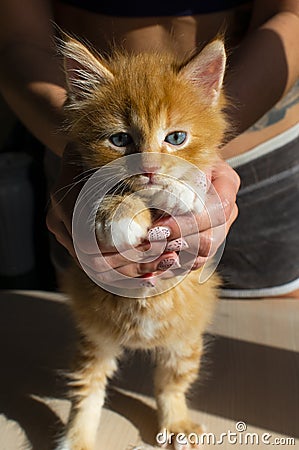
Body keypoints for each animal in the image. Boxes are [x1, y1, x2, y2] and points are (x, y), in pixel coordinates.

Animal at [56, 36, 229, 450]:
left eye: (176, 138)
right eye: (120, 139)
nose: (149, 168)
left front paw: (180, 190)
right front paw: (121, 214)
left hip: (184, 344)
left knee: (169, 385)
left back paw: (177, 425)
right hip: (95, 340)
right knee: (88, 388)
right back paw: (78, 438)